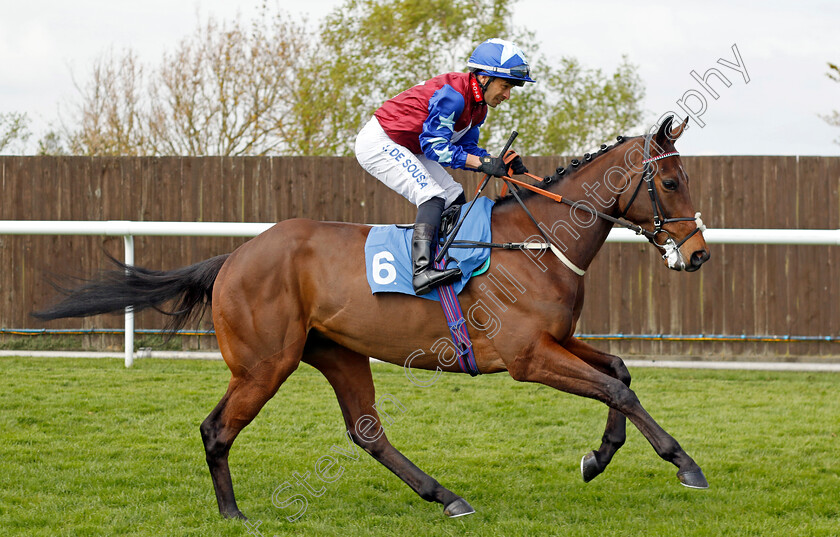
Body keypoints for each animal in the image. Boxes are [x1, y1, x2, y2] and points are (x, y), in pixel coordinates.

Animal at [36, 115, 712, 516]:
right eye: (671, 182)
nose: (699, 253)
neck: (538, 242)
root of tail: (235, 255)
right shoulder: (527, 357)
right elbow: (616, 390)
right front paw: (684, 464)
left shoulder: (557, 340)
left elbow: (619, 372)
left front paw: (599, 457)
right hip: (265, 363)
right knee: (216, 429)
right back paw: (232, 513)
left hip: (335, 351)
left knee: (365, 432)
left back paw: (445, 496)